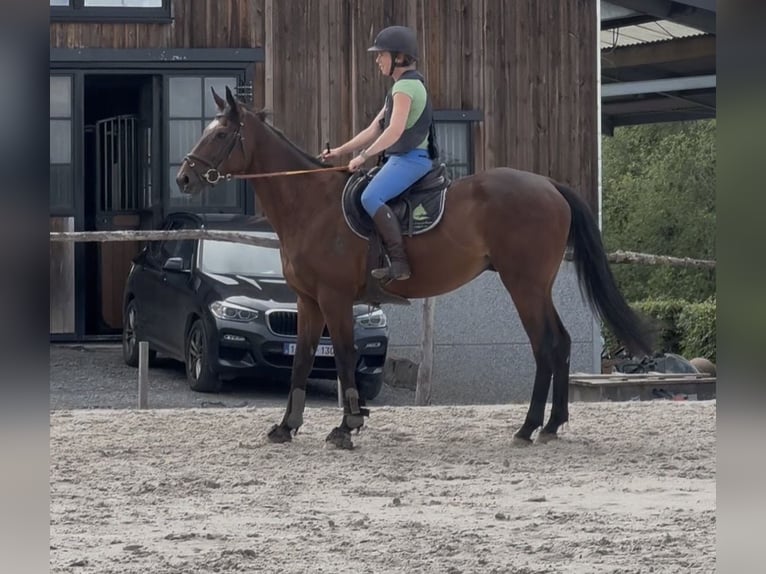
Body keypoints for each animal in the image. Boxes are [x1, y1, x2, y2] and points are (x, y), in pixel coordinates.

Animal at [176, 87, 652, 449]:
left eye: (220, 133)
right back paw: (552, 426)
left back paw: (529, 427)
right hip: (536, 286)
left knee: (546, 345)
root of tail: (549, 185)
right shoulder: (308, 301)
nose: (183, 178)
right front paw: (286, 426)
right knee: (562, 341)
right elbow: (303, 360)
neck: (311, 205)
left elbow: (344, 357)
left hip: (524, 285)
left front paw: (347, 426)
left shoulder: (335, 298)